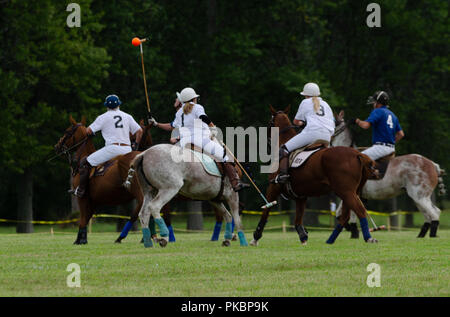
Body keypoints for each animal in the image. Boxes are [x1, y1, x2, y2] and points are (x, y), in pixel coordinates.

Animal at [251, 105, 378, 244]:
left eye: (270, 123)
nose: (267, 144)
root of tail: (358, 154)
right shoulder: (301, 196)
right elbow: (298, 220)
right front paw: (303, 237)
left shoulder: (273, 187)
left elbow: (266, 212)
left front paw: (256, 237)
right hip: (352, 191)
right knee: (346, 216)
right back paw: (330, 240)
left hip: (346, 191)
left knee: (359, 211)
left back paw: (368, 238)